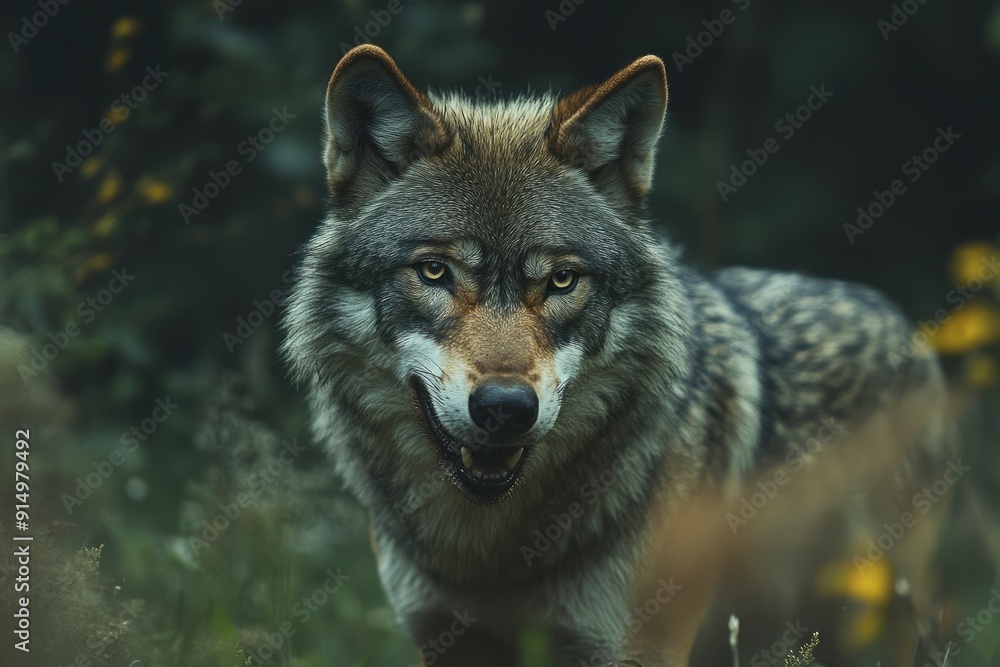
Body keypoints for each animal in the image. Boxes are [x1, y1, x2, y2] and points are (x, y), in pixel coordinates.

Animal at [282, 45, 953, 666]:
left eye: (561, 281)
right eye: (434, 271)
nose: (506, 409)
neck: (493, 555)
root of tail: (902, 325)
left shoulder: (635, 647)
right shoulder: (446, 638)